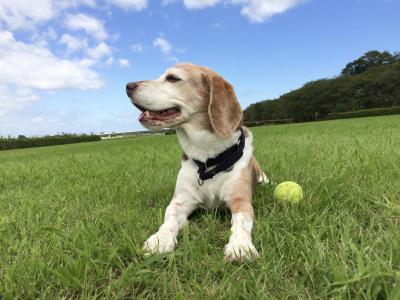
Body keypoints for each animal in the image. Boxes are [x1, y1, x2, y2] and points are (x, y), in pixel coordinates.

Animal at [126, 62, 268, 260]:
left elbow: (241, 221)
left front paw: (240, 245)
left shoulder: (240, 200)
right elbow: (169, 219)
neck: (208, 161)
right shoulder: (180, 201)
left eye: (172, 78)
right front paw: (160, 240)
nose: (128, 86)